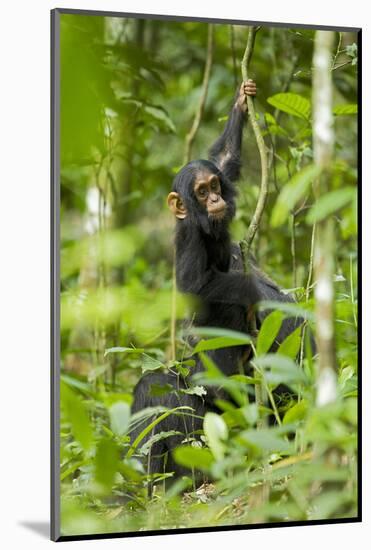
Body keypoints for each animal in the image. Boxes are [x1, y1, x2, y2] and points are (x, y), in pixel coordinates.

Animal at [132, 80, 304, 486]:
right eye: (200, 192)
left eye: (213, 185)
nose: (213, 198)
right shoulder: (192, 242)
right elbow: (197, 288)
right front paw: (251, 288)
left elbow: (225, 159)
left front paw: (241, 102)